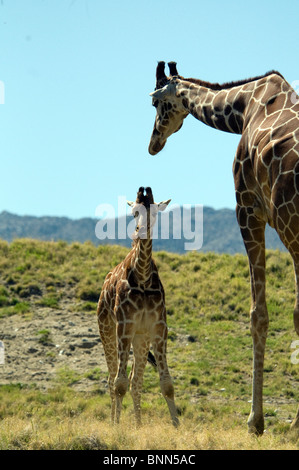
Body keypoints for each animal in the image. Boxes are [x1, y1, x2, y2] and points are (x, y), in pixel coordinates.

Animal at [97, 186, 179, 426]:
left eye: (154, 212)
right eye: (134, 212)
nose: (140, 230)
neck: (142, 277)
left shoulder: (158, 327)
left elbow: (167, 384)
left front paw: (177, 425)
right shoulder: (124, 326)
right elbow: (119, 383)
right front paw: (117, 427)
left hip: (141, 338)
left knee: (136, 381)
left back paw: (138, 424)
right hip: (107, 330)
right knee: (112, 379)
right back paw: (114, 421)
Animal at [148, 60, 299, 436]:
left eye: (155, 102)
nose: (153, 143)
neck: (243, 107)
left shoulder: (248, 209)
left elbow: (259, 314)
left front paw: (255, 422)